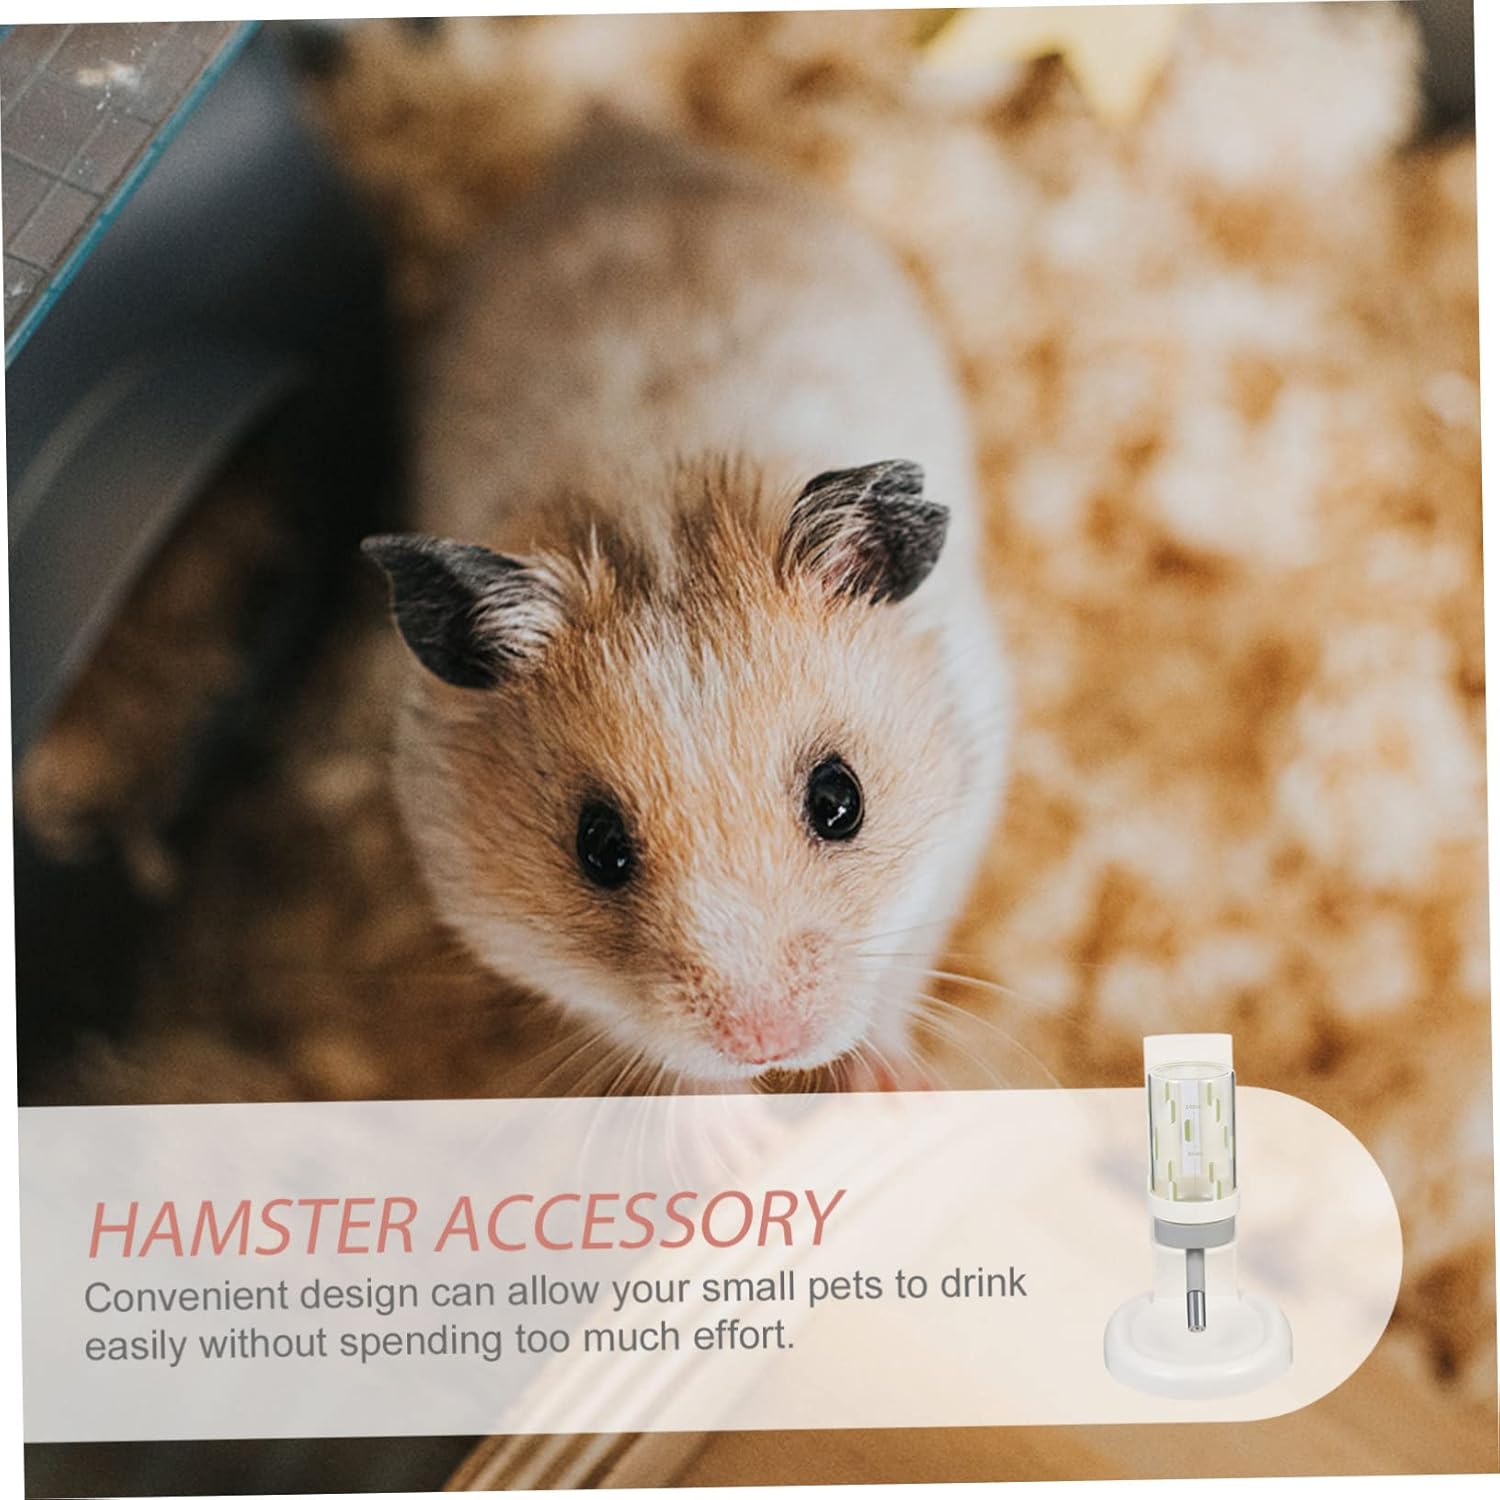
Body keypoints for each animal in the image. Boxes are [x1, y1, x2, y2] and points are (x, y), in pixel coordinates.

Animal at [365, 119, 1011, 1089]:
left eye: (842, 800)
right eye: (598, 848)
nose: (766, 1043)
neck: (657, 520)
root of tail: (616, 138)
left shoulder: (960, 824)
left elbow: (897, 974)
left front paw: (892, 1089)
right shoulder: (503, 926)